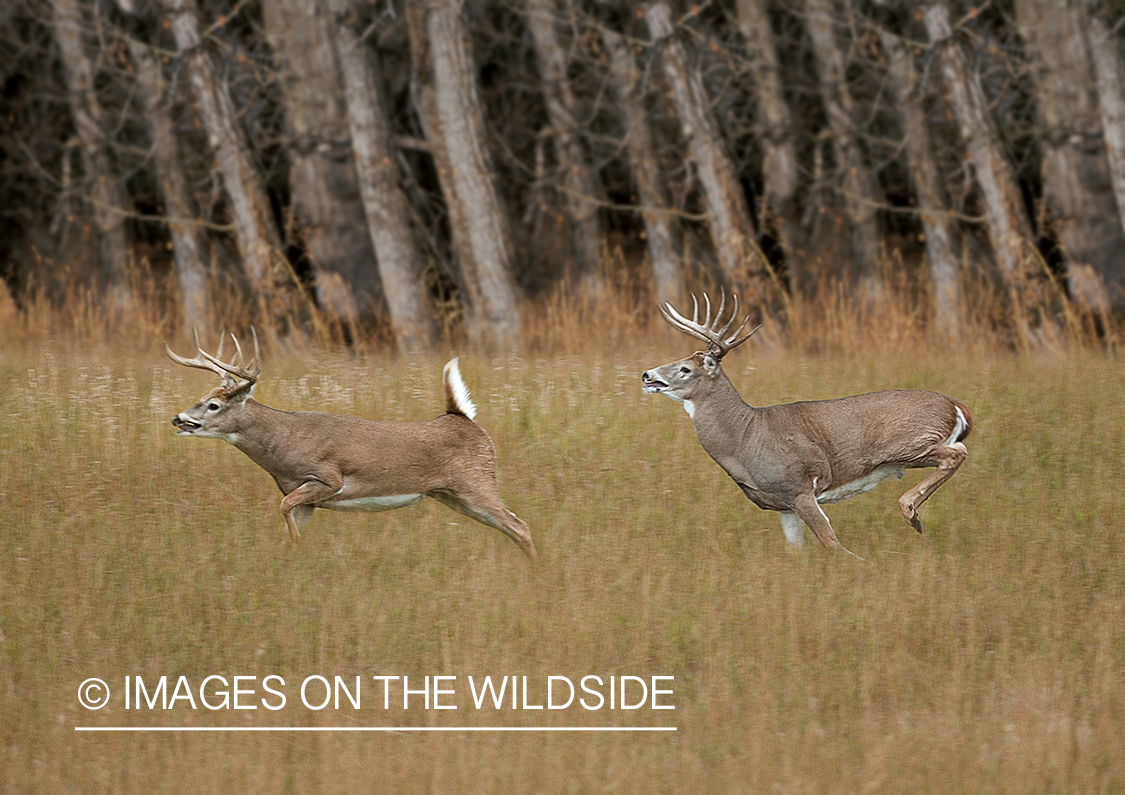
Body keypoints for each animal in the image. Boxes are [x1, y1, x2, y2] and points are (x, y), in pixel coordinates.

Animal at [164, 332, 537, 562]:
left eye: (214, 405)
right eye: (202, 397)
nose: (179, 418)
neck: (283, 443)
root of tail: (462, 417)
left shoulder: (329, 479)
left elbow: (284, 508)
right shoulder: (306, 498)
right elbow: (289, 525)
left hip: (476, 483)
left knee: (520, 526)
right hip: (450, 495)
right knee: (514, 527)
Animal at [648, 294, 972, 553]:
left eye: (685, 369)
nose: (647, 375)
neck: (746, 437)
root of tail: (957, 406)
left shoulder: (800, 486)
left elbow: (831, 543)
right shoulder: (784, 504)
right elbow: (795, 550)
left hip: (910, 444)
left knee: (956, 454)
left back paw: (911, 511)